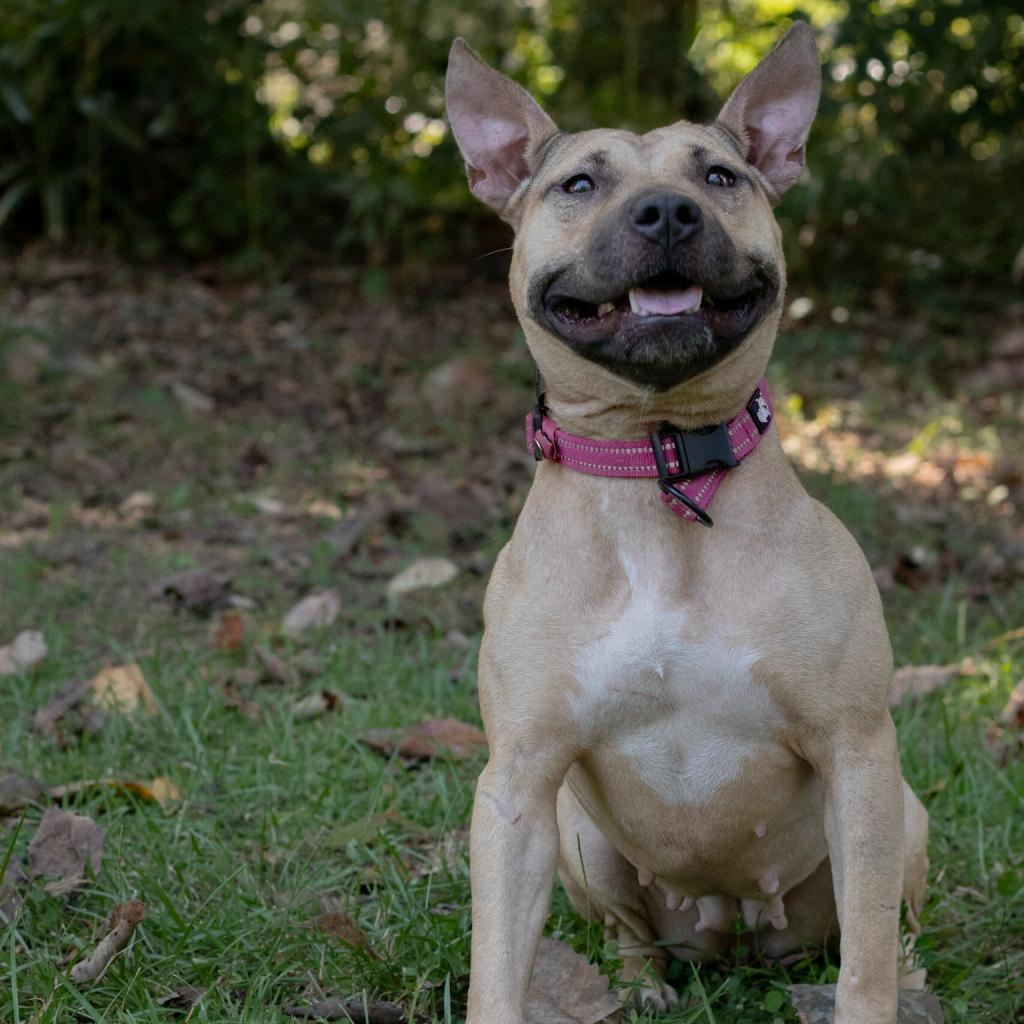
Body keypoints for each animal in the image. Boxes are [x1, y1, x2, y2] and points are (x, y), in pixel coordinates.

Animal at [446, 24, 929, 1024]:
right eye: (578, 185)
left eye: (718, 175)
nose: (666, 212)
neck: (657, 463)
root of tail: (735, 929)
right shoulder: (516, 785)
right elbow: (494, 966)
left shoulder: (858, 752)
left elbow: (864, 959)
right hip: (580, 837)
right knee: (635, 934)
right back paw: (641, 986)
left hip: (901, 814)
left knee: (885, 933)